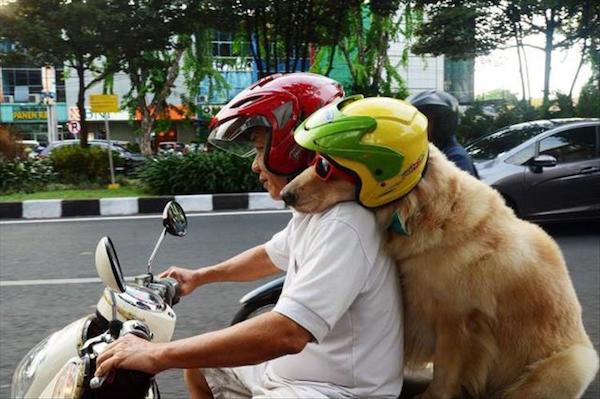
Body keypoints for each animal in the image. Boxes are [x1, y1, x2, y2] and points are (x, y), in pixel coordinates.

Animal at [282, 145, 600, 398]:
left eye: (325, 168)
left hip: (570, 364)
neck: (427, 213)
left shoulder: (455, 321)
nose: (285, 195)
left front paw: (433, 395)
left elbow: (447, 371)